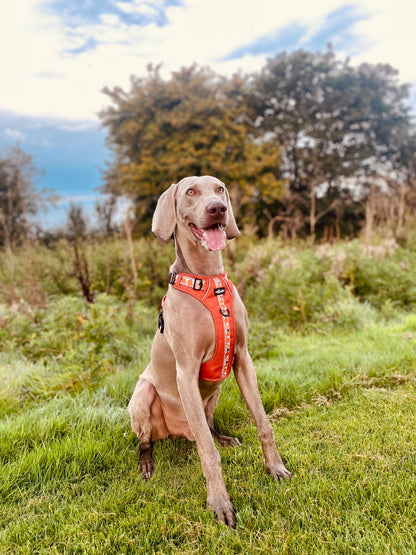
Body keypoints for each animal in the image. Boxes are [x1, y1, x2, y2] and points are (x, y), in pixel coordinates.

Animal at [128, 176, 290, 528]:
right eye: (190, 191)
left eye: (219, 189)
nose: (218, 209)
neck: (208, 280)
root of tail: (179, 433)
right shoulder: (186, 373)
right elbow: (208, 453)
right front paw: (219, 502)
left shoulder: (243, 359)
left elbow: (264, 424)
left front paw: (275, 467)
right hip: (143, 395)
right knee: (150, 440)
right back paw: (147, 463)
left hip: (216, 388)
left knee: (209, 425)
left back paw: (224, 437)